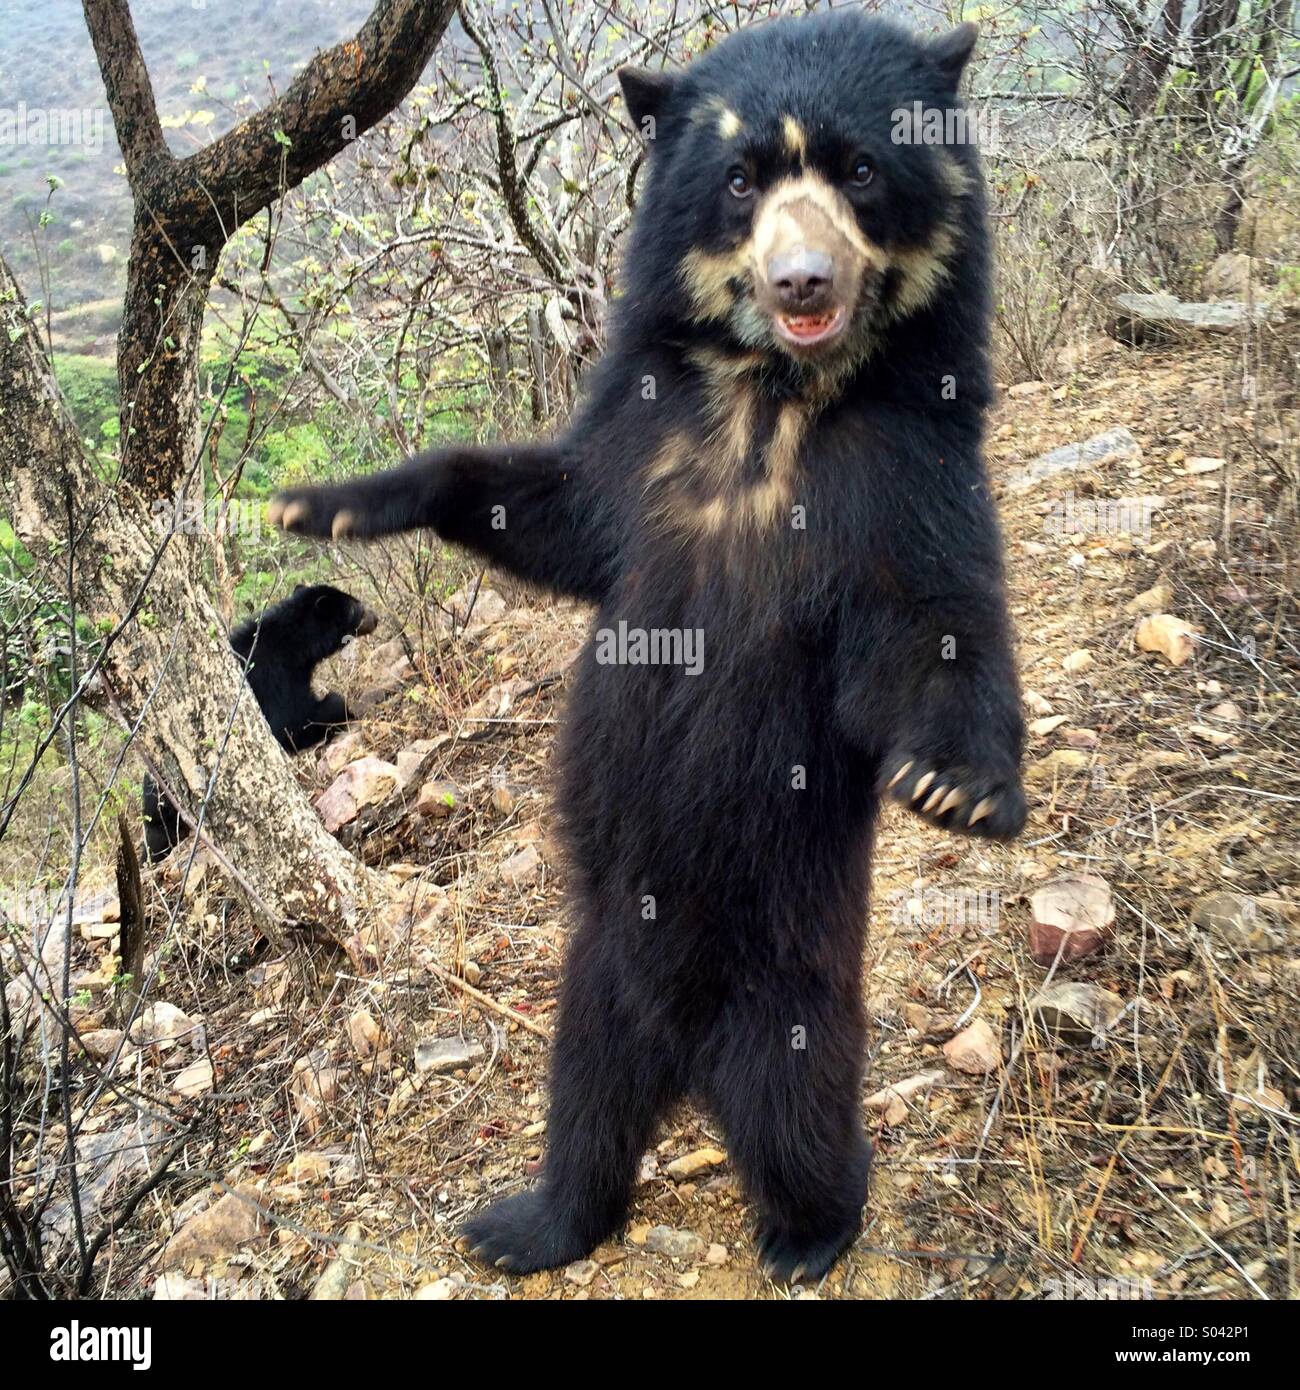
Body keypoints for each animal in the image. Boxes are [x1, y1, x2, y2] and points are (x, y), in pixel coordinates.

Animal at [143, 583, 375, 861]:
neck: (294, 642)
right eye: (353, 607)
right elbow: (289, 723)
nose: (375, 617)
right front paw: (342, 707)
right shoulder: (273, 675)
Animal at [272, 16, 1028, 1284]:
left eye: (859, 170)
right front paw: (327, 505)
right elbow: (550, 511)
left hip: (788, 992)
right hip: (587, 991)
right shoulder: (641, 443)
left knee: (802, 1117)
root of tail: (685, 1053)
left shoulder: (904, 470)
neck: (770, 402)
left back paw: (809, 1233)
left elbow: (931, 620)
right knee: (580, 1115)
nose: (802, 281)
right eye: (739, 180)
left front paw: (961, 788)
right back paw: (524, 1222)